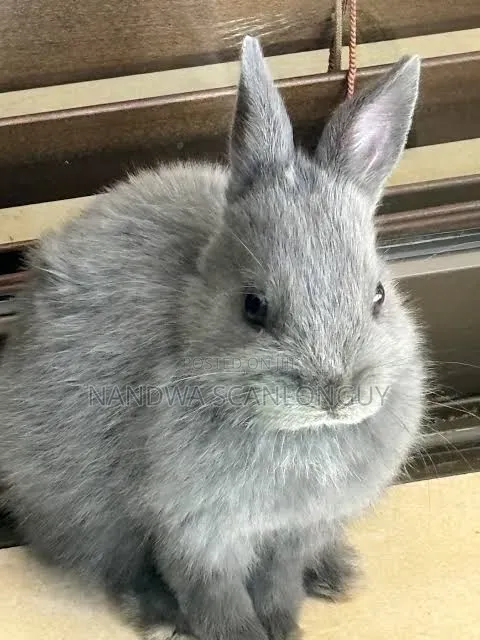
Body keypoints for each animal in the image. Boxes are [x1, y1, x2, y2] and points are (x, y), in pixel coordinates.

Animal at [0, 36, 425, 640]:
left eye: (379, 296)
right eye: (253, 307)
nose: (336, 397)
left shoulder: (295, 532)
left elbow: (278, 585)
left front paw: (284, 627)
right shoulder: (195, 530)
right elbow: (215, 597)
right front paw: (244, 634)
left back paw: (337, 575)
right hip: (79, 509)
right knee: (112, 564)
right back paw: (157, 614)